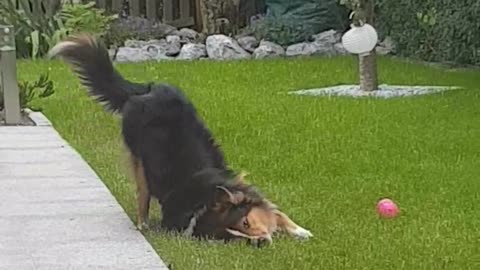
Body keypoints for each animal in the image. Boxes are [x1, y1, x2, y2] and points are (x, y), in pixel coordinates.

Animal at [47, 32, 312, 246]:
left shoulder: (242, 185)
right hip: (139, 160)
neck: (203, 202)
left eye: (245, 223)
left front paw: (300, 231)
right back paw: (143, 224)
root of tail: (147, 89)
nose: (261, 243)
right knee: (142, 193)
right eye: (233, 238)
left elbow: (276, 212)